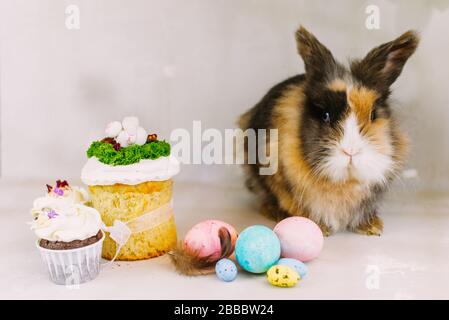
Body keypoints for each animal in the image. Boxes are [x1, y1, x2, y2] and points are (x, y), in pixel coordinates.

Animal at [240, 26, 418, 235]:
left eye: (373, 115)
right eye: (325, 115)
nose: (351, 151)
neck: (343, 183)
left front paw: (373, 227)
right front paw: (321, 228)